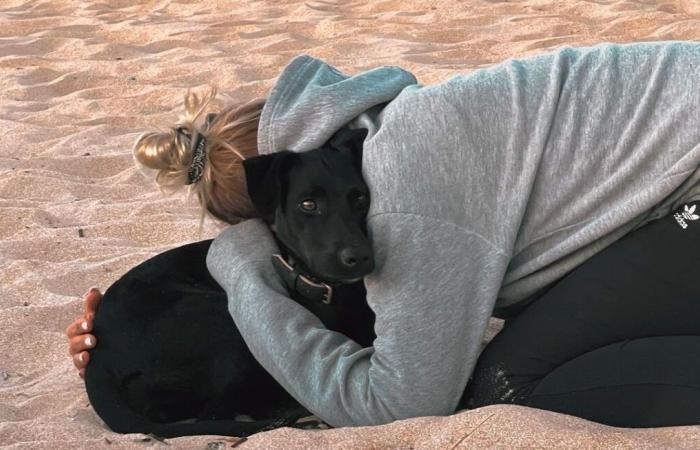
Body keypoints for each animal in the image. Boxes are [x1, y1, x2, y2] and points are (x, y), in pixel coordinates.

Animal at [85, 125, 378, 436]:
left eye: (360, 198)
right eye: (308, 204)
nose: (359, 257)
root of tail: (99, 359)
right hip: (224, 321)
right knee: (217, 413)